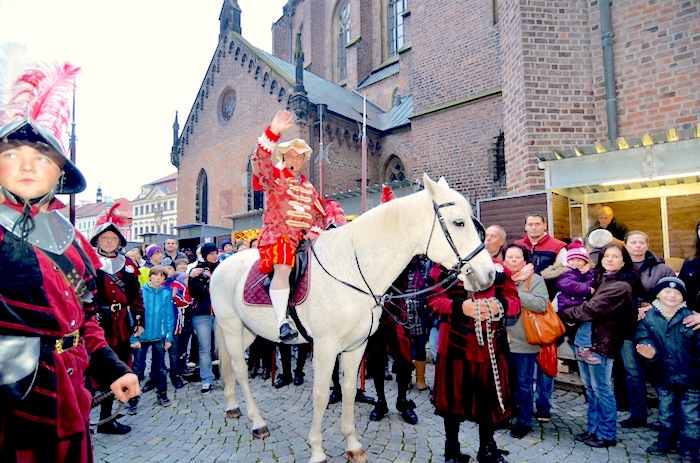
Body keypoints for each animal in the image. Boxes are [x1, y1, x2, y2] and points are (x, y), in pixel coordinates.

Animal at [211, 175, 494, 463]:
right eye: (459, 222)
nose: (489, 273)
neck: (353, 270)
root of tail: (222, 265)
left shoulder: (356, 346)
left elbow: (348, 389)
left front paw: (352, 444)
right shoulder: (325, 347)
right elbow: (321, 395)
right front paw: (317, 450)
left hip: (249, 332)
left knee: (233, 367)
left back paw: (233, 406)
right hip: (231, 327)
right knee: (240, 370)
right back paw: (257, 422)